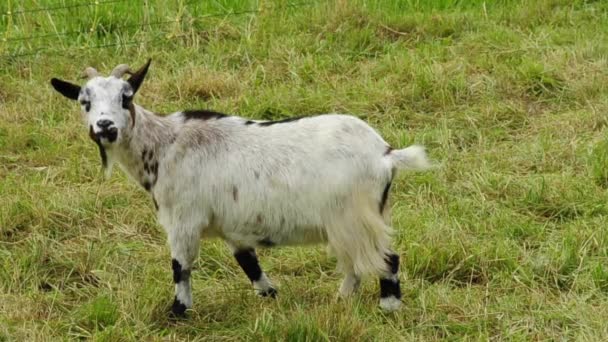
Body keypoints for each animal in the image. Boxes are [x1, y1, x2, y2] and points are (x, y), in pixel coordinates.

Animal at [52, 59, 432, 316]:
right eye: (84, 102)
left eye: (126, 97)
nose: (105, 127)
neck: (164, 145)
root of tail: (386, 154)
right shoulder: (233, 226)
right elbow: (249, 263)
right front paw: (271, 295)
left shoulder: (183, 219)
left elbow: (180, 266)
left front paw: (178, 312)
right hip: (358, 218)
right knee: (355, 263)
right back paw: (341, 300)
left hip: (354, 215)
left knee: (386, 258)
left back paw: (388, 307)